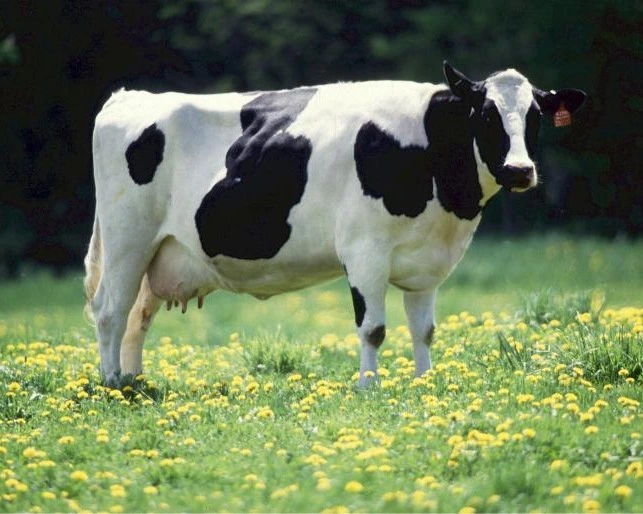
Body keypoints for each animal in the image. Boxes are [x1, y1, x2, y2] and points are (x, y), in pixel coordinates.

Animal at [84, 62, 586, 388]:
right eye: (485, 114)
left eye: (535, 116)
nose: (520, 170)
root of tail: (128, 97)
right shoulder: (365, 250)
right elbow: (374, 328)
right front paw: (368, 387)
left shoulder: (427, 262)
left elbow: (423, 329)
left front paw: (425, 382)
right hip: (127, 238)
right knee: (110, 310)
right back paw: (112, 384)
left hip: (159, 251)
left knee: (137, 316)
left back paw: (135, 380)